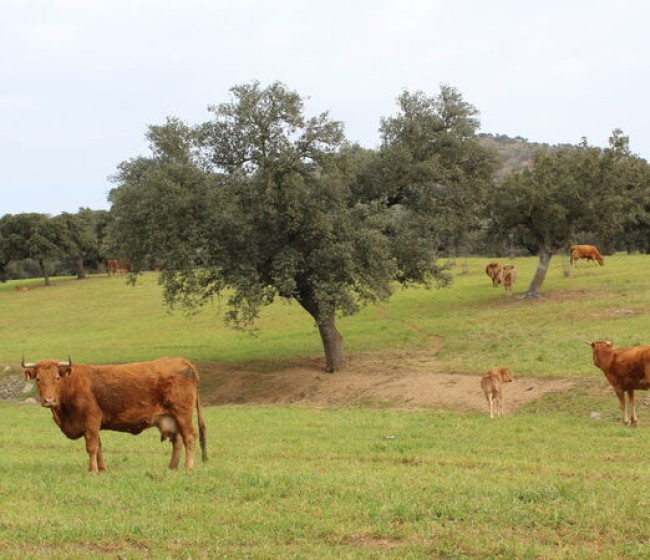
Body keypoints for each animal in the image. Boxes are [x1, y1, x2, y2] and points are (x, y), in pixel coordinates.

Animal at [22, 356, 206, 470]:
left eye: (57, 378)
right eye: (38, 379)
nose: (49, 400)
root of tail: (183, 361)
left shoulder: (91, 421)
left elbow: (91, 447)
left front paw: (92, 470)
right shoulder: (93, 426)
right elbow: (99, 446)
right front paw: (102, 468)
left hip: (182, 414)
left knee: (189, 438)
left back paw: (188, 467)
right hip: (171, 418)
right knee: (178, 441)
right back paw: (172, 467)